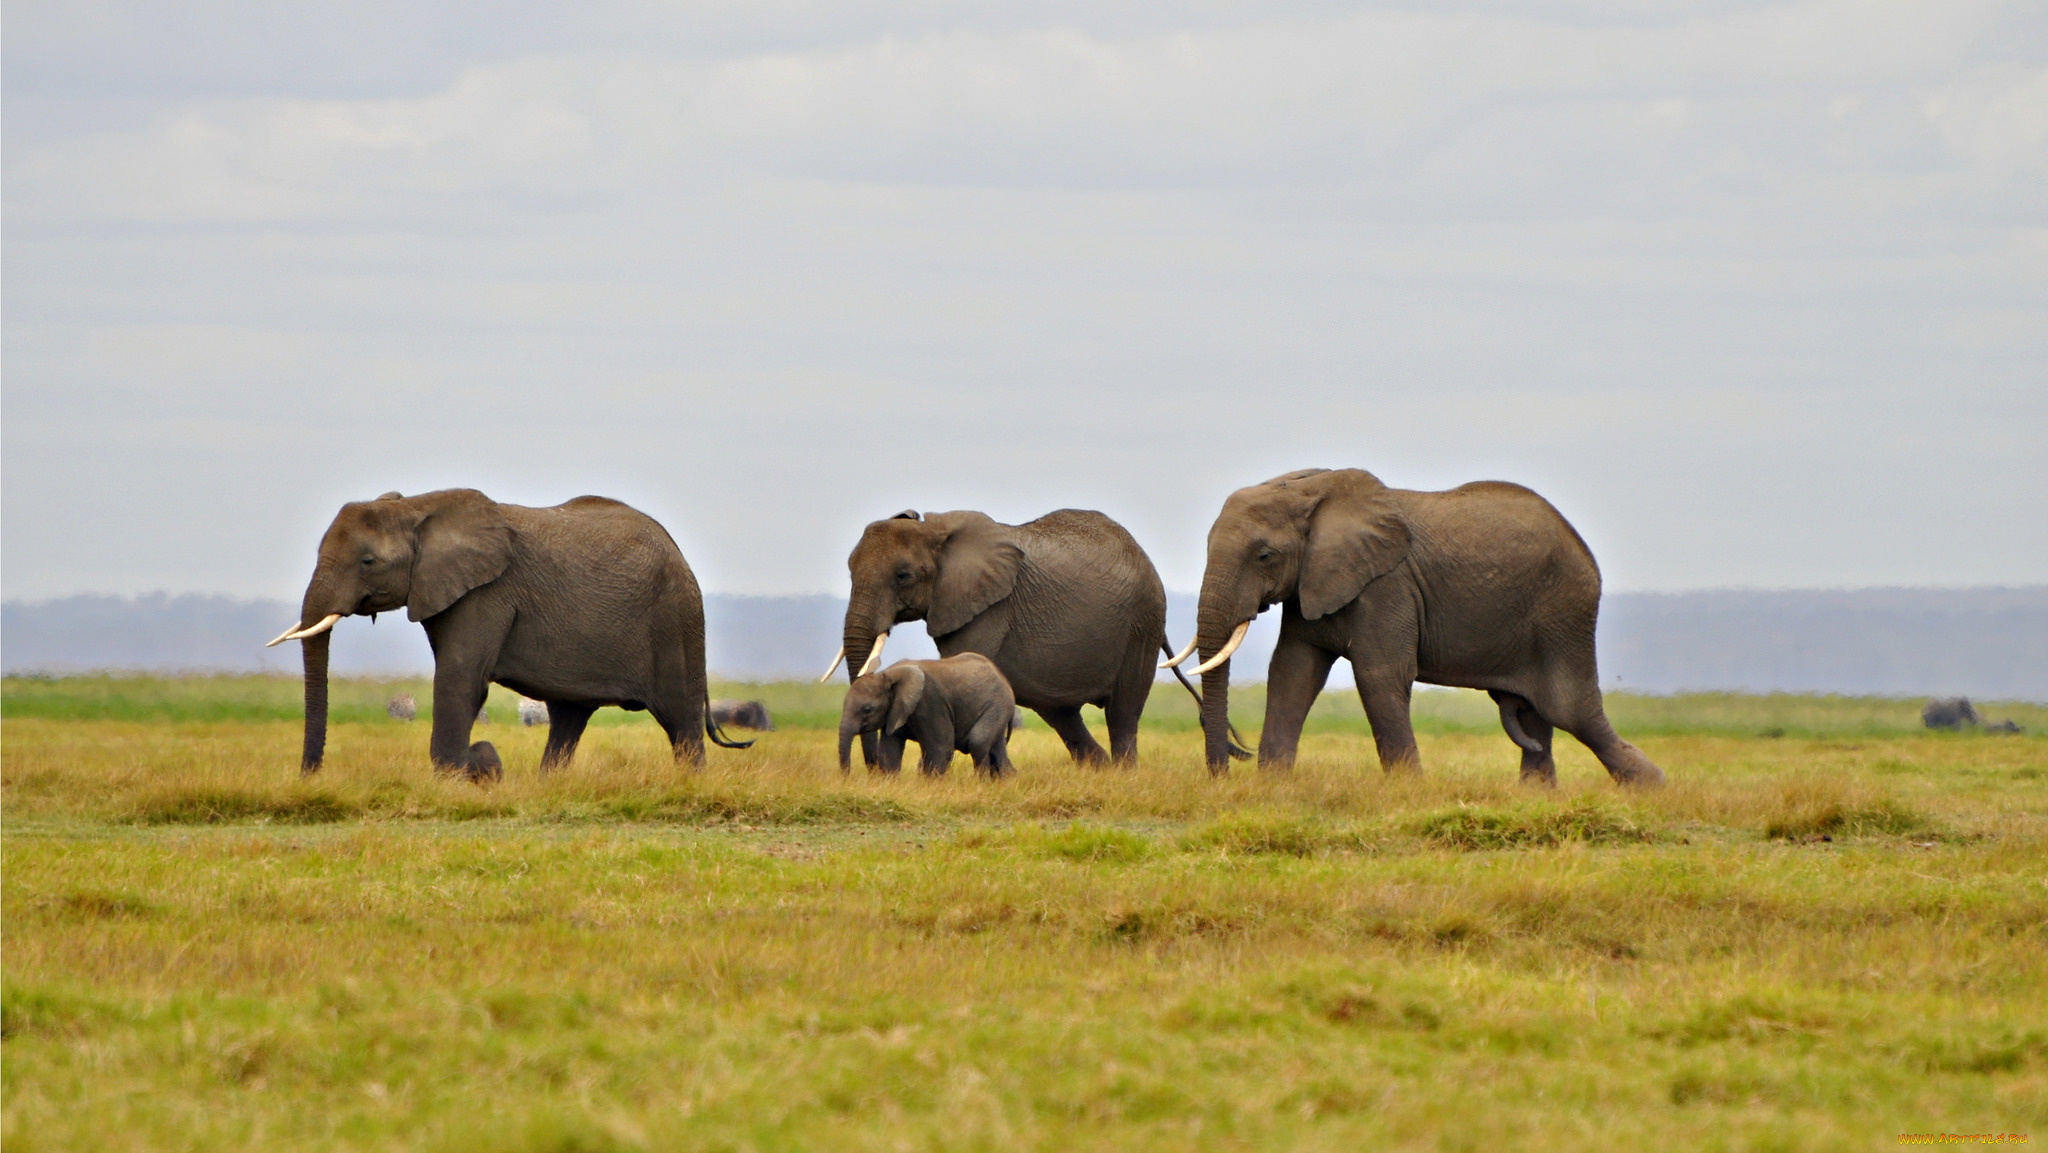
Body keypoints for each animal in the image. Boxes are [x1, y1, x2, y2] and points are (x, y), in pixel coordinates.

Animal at [266, 491, 753, 782]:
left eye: (367, 562)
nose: (310, 776)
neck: (418, 506)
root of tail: (679, 552)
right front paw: (475, 768)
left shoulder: (486, 594)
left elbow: (460, 679)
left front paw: (456, 776)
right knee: (568, 719)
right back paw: (548, 785)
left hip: (675, 619)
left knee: (679, 718)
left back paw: (689, 786)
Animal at [819, 507, 1220, 765]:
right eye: (850, 570)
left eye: (903, 576)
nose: (873, 769)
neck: (937, 531)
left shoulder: (989, 606)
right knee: (1063, 716)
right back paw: (1100, 769)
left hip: (1141, 624)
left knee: (1123, 712)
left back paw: (1123, 774)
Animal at [839, 655, 1015, 782]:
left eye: (867, 709)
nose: (847, 777)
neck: (886, 675)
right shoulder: (896, 711)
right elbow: (889, 750)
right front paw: (890, 783)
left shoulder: (931, 703)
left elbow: (940, 748)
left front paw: (932, 786)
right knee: (996, 748)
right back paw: (1007, 782)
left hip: (997, 705)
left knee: (978, 741)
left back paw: (983, 783)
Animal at [1187, 466, 1662, 786]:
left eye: (1264, 555)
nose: (1226, 772)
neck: (1310, 488)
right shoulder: (1311, 585)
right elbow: (1292, 672)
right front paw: (1273, 784)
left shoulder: (1387, 585)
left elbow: (1379, 675)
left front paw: (1407, 789)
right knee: (1534, 713)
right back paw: (1536, 797)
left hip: (1564, 611)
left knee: (1570, 708)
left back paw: (1652, 787)